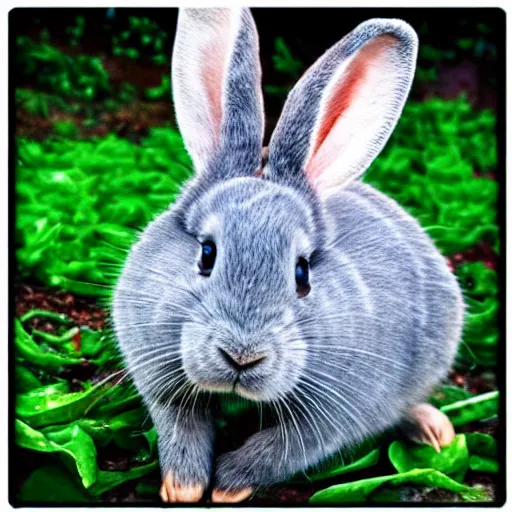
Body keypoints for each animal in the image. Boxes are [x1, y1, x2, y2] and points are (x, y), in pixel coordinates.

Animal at [112, 8, 464, 504]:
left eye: (302, 273)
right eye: (206, 254)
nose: (242, 356)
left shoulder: (334, 415)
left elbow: (283, 449)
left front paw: (228, 487)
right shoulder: (157, 374)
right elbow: (181, 426)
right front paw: (185, 487)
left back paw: (435, 431)